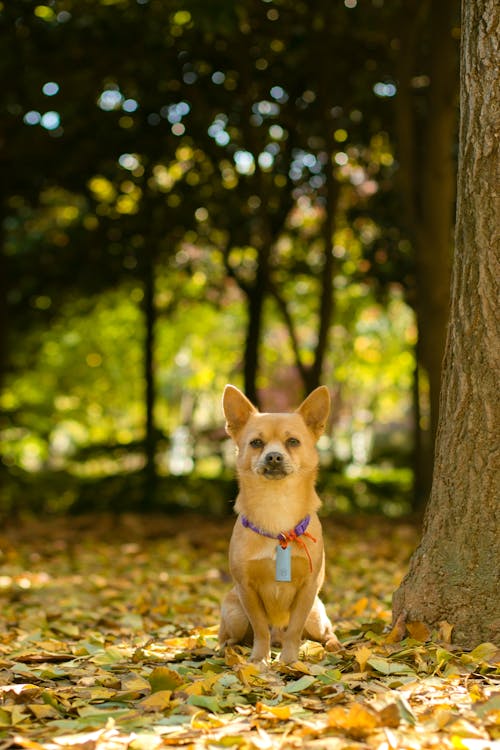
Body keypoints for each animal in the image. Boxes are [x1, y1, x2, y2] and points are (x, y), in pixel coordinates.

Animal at [219, 388, 340, 664]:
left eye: (293, 441)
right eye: (256, 443)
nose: (273, 456)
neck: (276, 507)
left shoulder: (308, 588)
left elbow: (294, 628)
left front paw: (289, 661)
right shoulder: (247, 589)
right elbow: (260, 627)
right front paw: (259, 659)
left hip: (316, 616)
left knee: (325, 631)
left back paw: (331, 644)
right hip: (234, 613)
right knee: (232, 635)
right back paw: (230, 648)